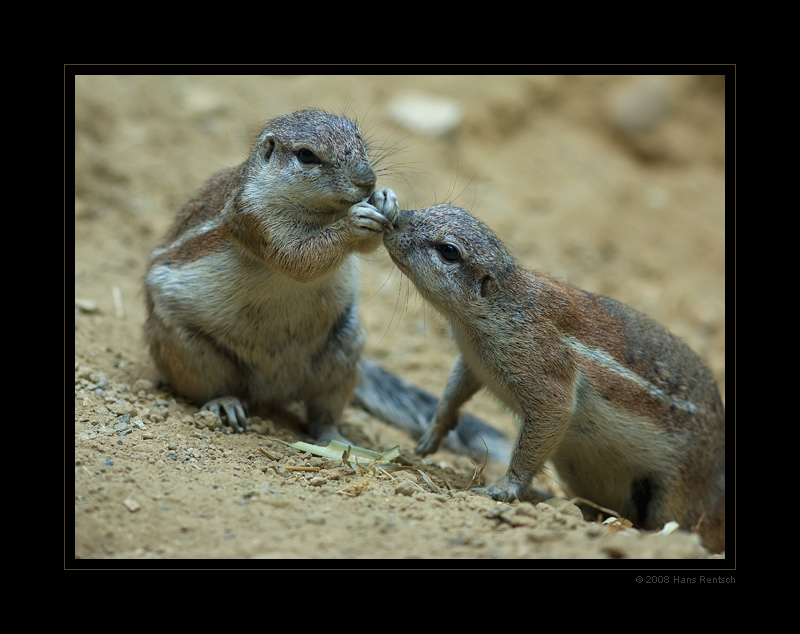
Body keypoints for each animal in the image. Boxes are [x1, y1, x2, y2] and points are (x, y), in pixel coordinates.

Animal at [143, 107, 506, 454]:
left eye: (360, 138)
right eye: (307, 156)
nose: (368, 180)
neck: (322, 213)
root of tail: (271, 389)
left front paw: (387, 199)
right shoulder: (255, 220)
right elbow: (299, 258)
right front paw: (354, 221)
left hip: (343, 349)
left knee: (323, 414)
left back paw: (337, 439)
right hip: (187, 348)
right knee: (207, 388)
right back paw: (225, 404)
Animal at [384, 205, 728, 552]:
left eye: (449, 251)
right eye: (439, 208)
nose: (396, 217)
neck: (504, 306)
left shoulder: (540, 366)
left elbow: (549, 418)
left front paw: (503, 490)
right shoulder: (472, 363)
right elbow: (454, 392)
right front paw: (431, 435)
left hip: (681, 493)